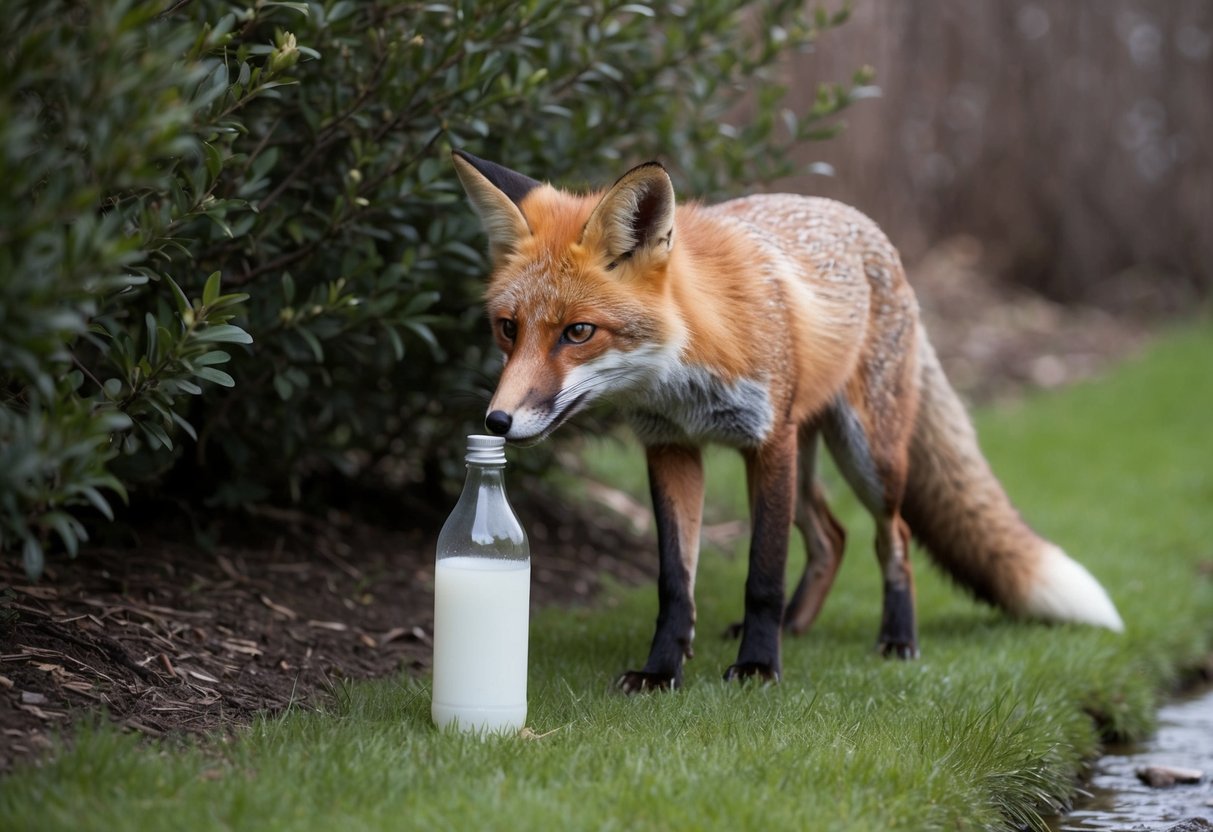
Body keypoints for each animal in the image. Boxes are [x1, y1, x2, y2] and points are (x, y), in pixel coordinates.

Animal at [452, 149, 1124, 691]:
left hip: (865, 457)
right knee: (832, 537)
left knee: (895, 537)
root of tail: (868, 228)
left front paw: (758, 666)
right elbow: (675, 582)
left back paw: (895, 639)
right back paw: (798, 626)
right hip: (805, 464)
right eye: (508, 328)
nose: (498, 420)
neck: (686, 372)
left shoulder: (766, 442)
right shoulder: (671, 448)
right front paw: (662, 671)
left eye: (578, 332)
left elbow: (764, 573)